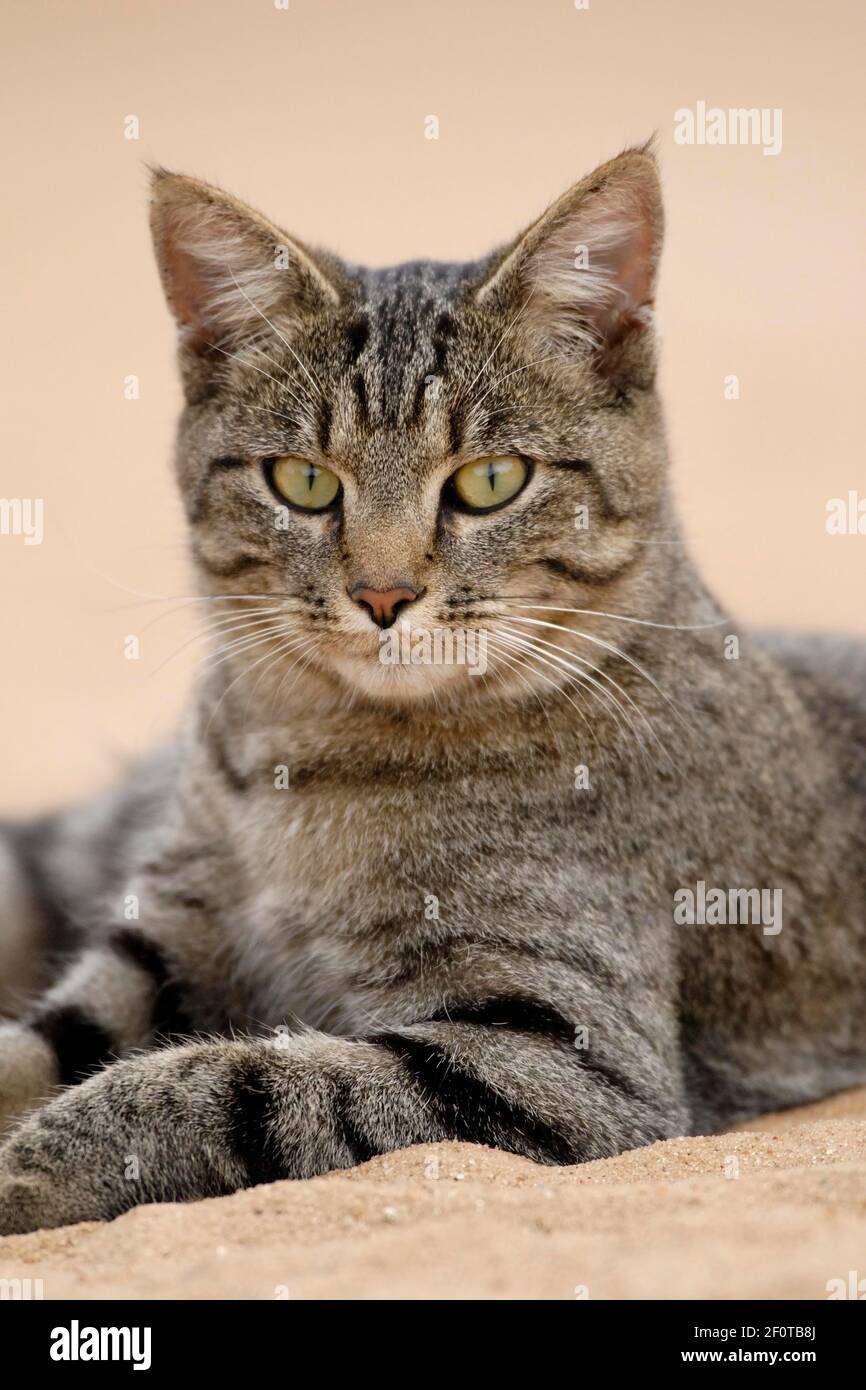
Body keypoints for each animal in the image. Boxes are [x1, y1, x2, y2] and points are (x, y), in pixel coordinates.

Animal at [1, 146, 866, 1234]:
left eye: (491, 480)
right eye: (302, 482)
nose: (383, 595)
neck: (307, 758)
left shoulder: (561, 1055)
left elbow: (239, 1083)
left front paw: (39, 1162)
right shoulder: (160, 936)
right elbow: (40, 1044)